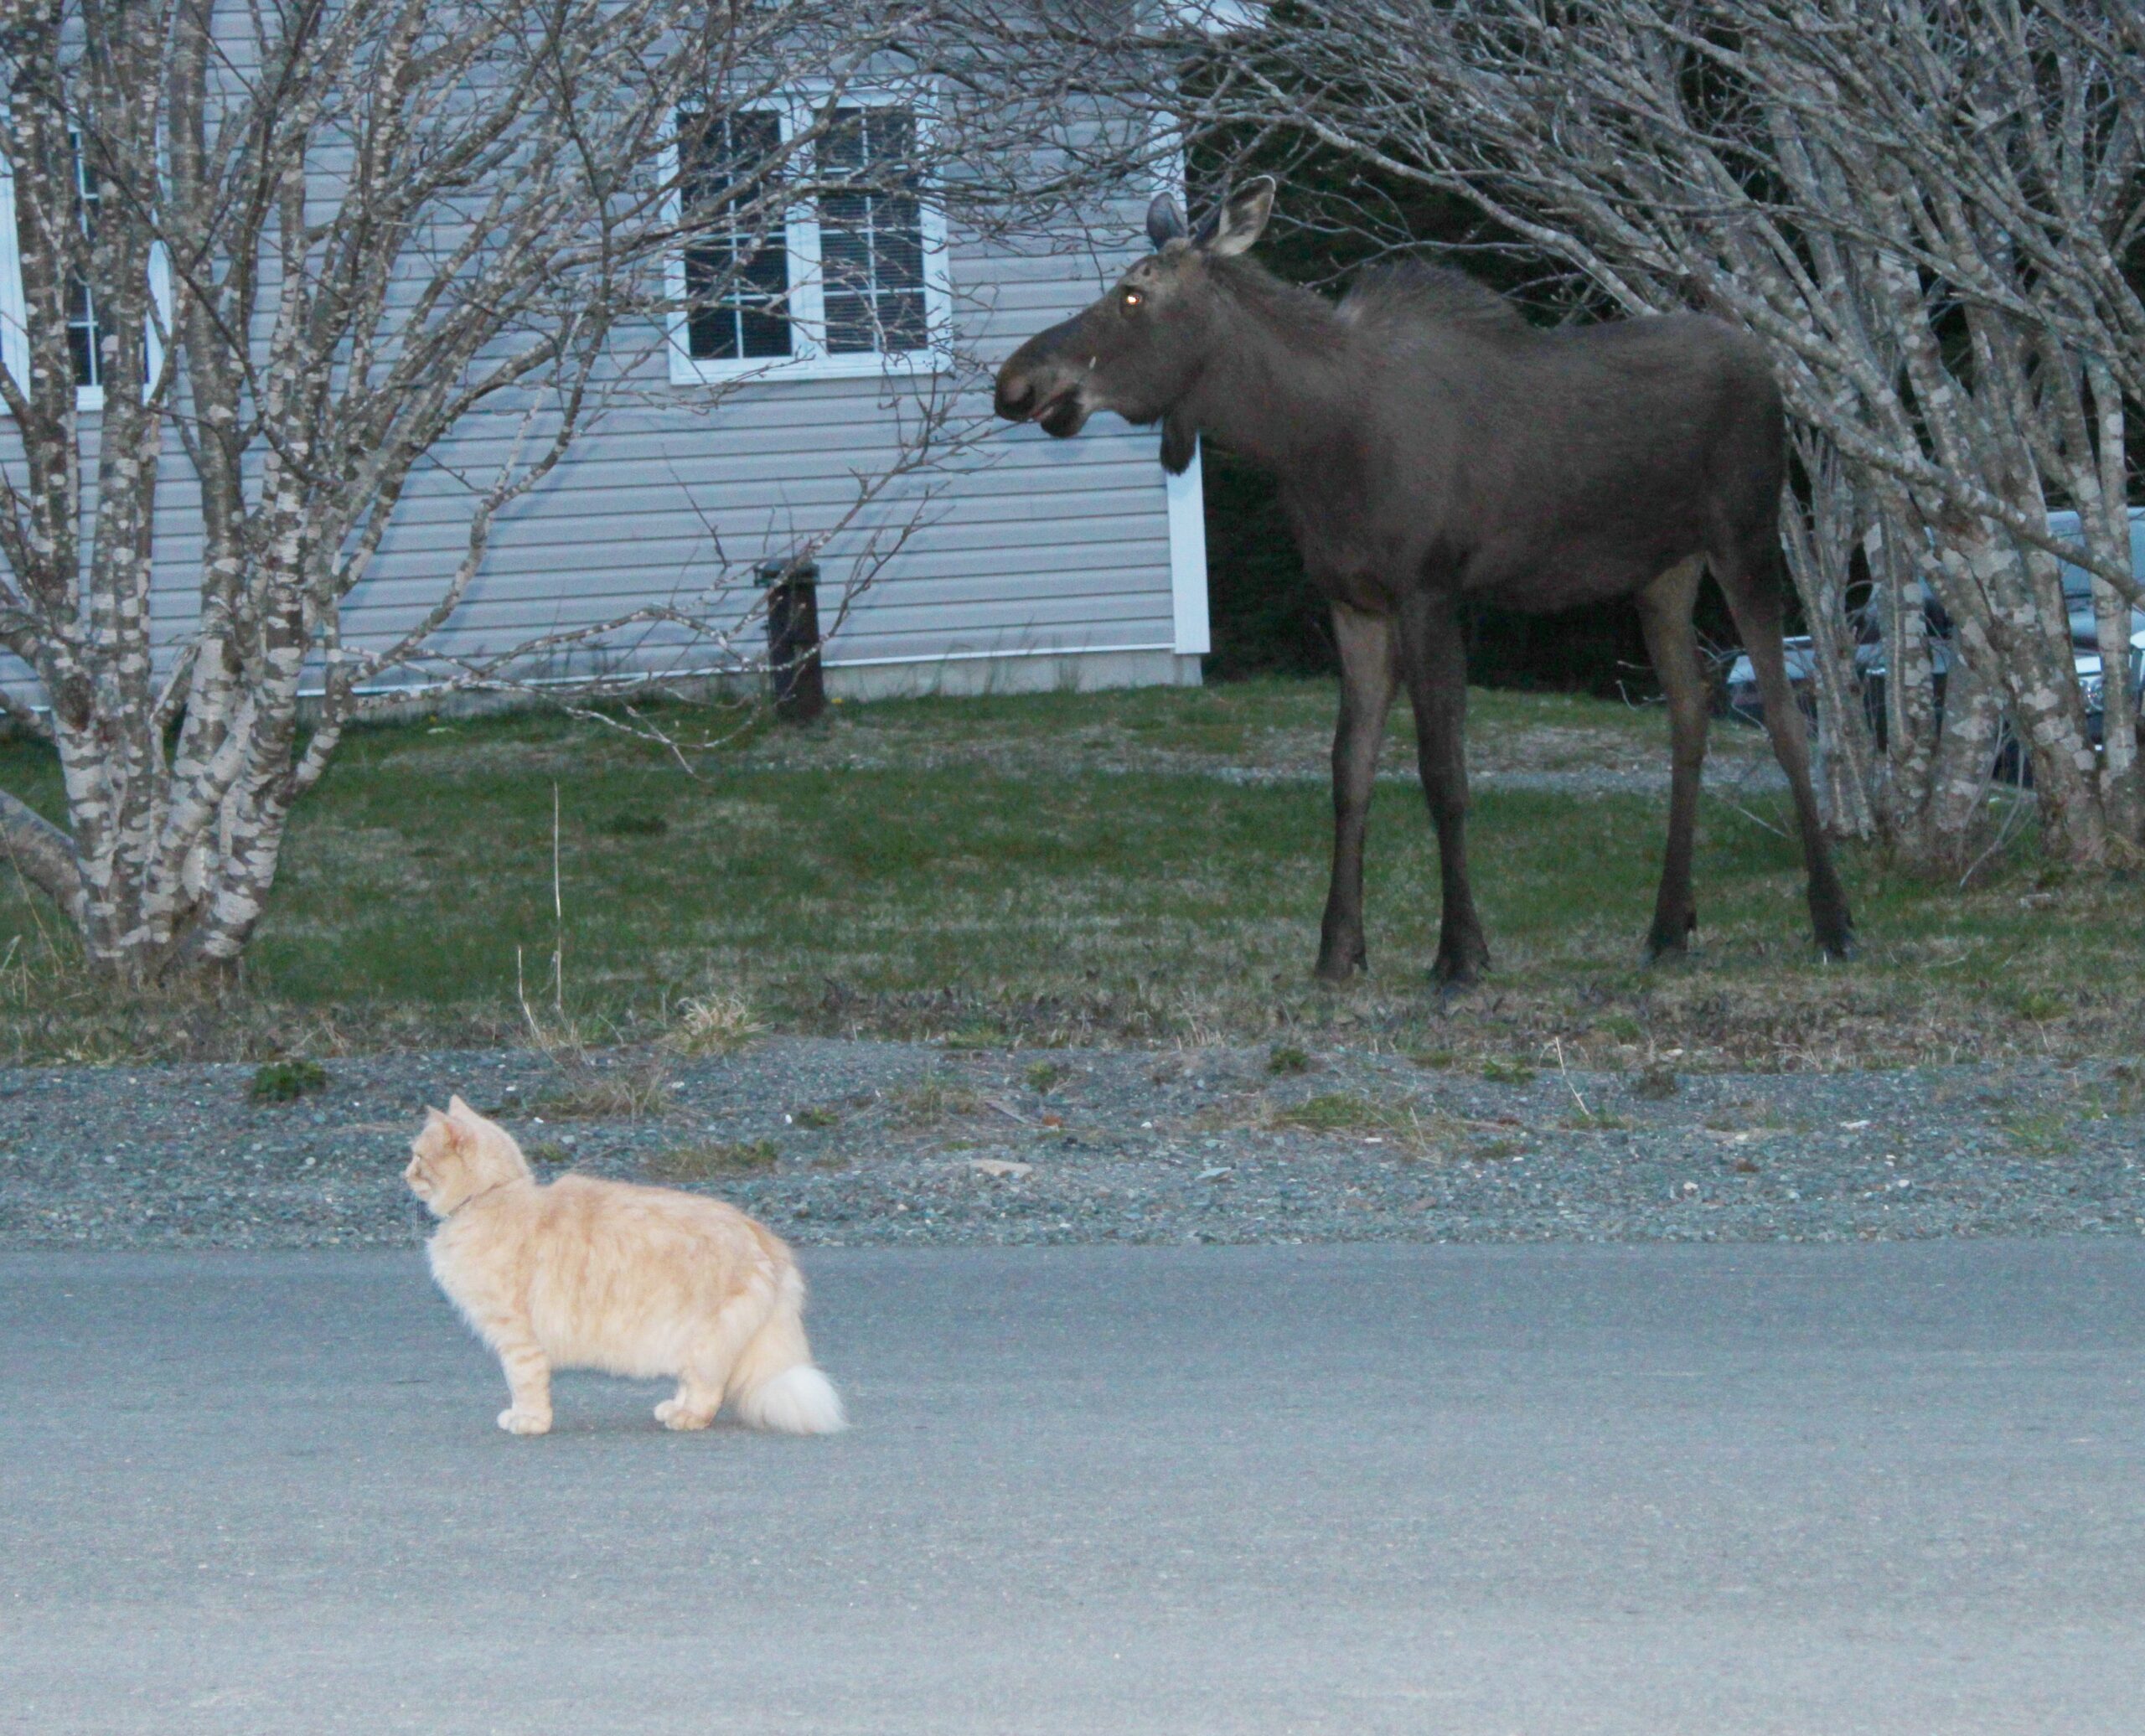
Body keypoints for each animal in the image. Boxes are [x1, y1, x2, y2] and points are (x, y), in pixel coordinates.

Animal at [403, 1098, 845, 1433]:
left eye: (418, 1157)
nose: (405, 1174)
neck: (494, 1195)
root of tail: (762, 1235)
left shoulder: (516, 1337)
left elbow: (525, 1384)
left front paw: (528, 1421)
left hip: (705, 1338)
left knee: (708, 1390)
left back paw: (686, 1418)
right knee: (693, 1382)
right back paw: (673, 1408)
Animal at [995, 178, 1853, 987]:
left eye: (1133, 293)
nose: (1015, 382)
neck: (1308, 442)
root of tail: (1768, 369)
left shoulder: (1430, 587)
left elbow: (1444, 773)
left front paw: (1459, 954)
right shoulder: (1352, 602)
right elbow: (1349, 771)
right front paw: (1338, 951)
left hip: (1747, 534)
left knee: (1786, 710)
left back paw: (1831, 921)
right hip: (1663, 570)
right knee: (1691, 708)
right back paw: (1670, 926)